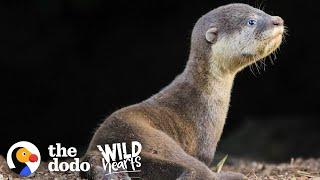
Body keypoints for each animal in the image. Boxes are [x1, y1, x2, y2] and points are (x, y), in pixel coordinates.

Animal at [81, 3, 284, 180]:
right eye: (251, 21)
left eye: (262, 11)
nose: (278, 20)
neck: (205, 94)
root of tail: (102, 147)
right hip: (155, 140)